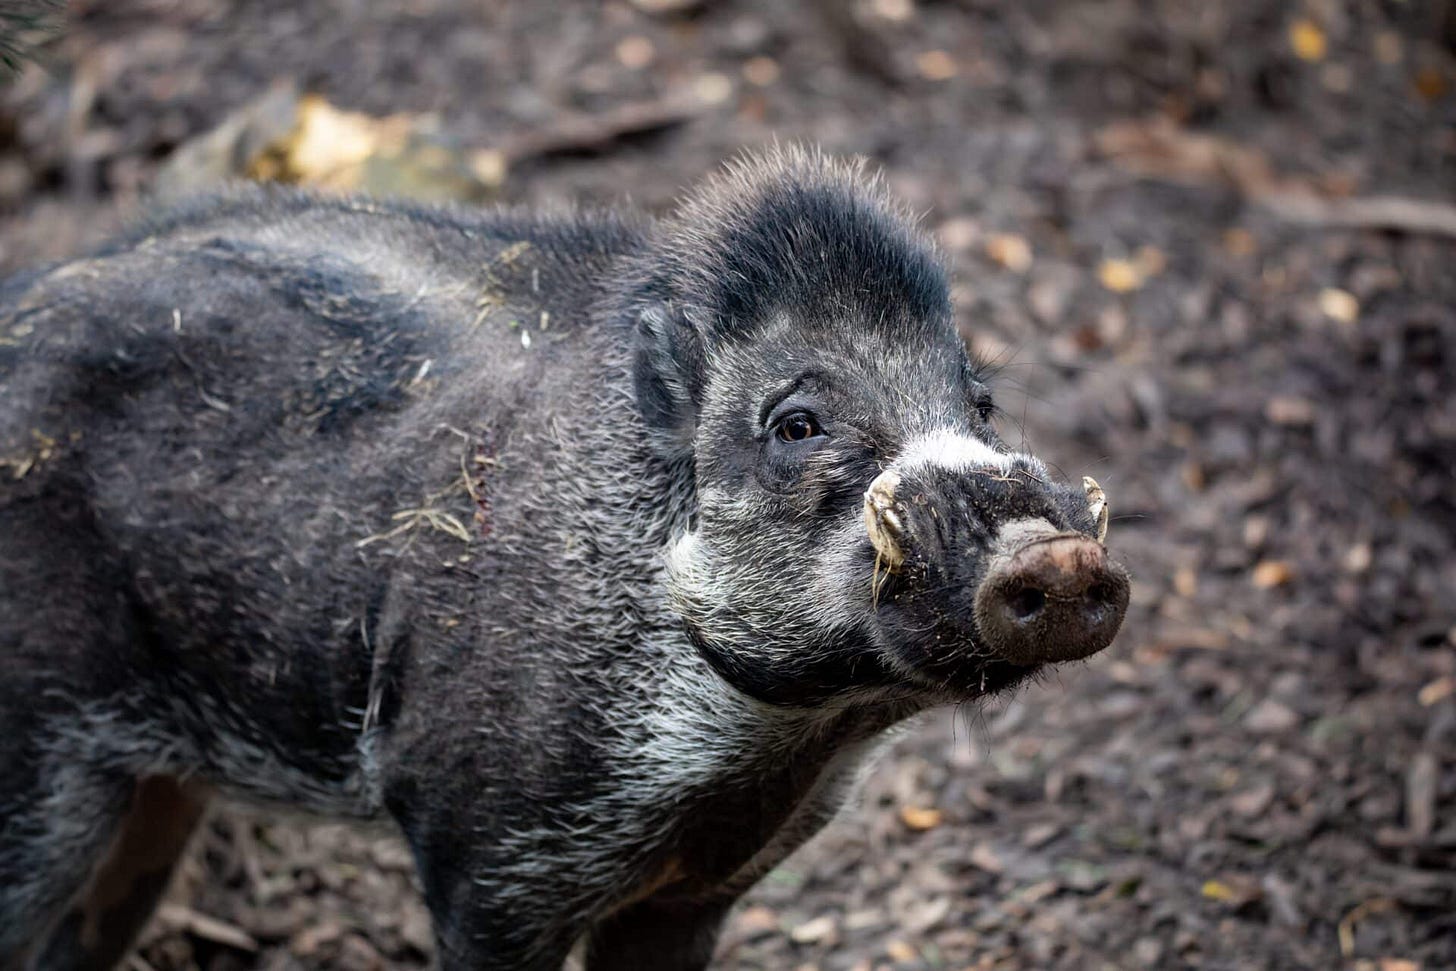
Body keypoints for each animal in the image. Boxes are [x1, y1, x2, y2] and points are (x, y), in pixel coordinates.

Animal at [0, 146, 1128, 970]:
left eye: (978, 403)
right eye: (796, 422)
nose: (1059, 552)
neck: (765, 747)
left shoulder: (702, 890)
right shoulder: (482, 857)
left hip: (154, 787)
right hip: (40, 749)